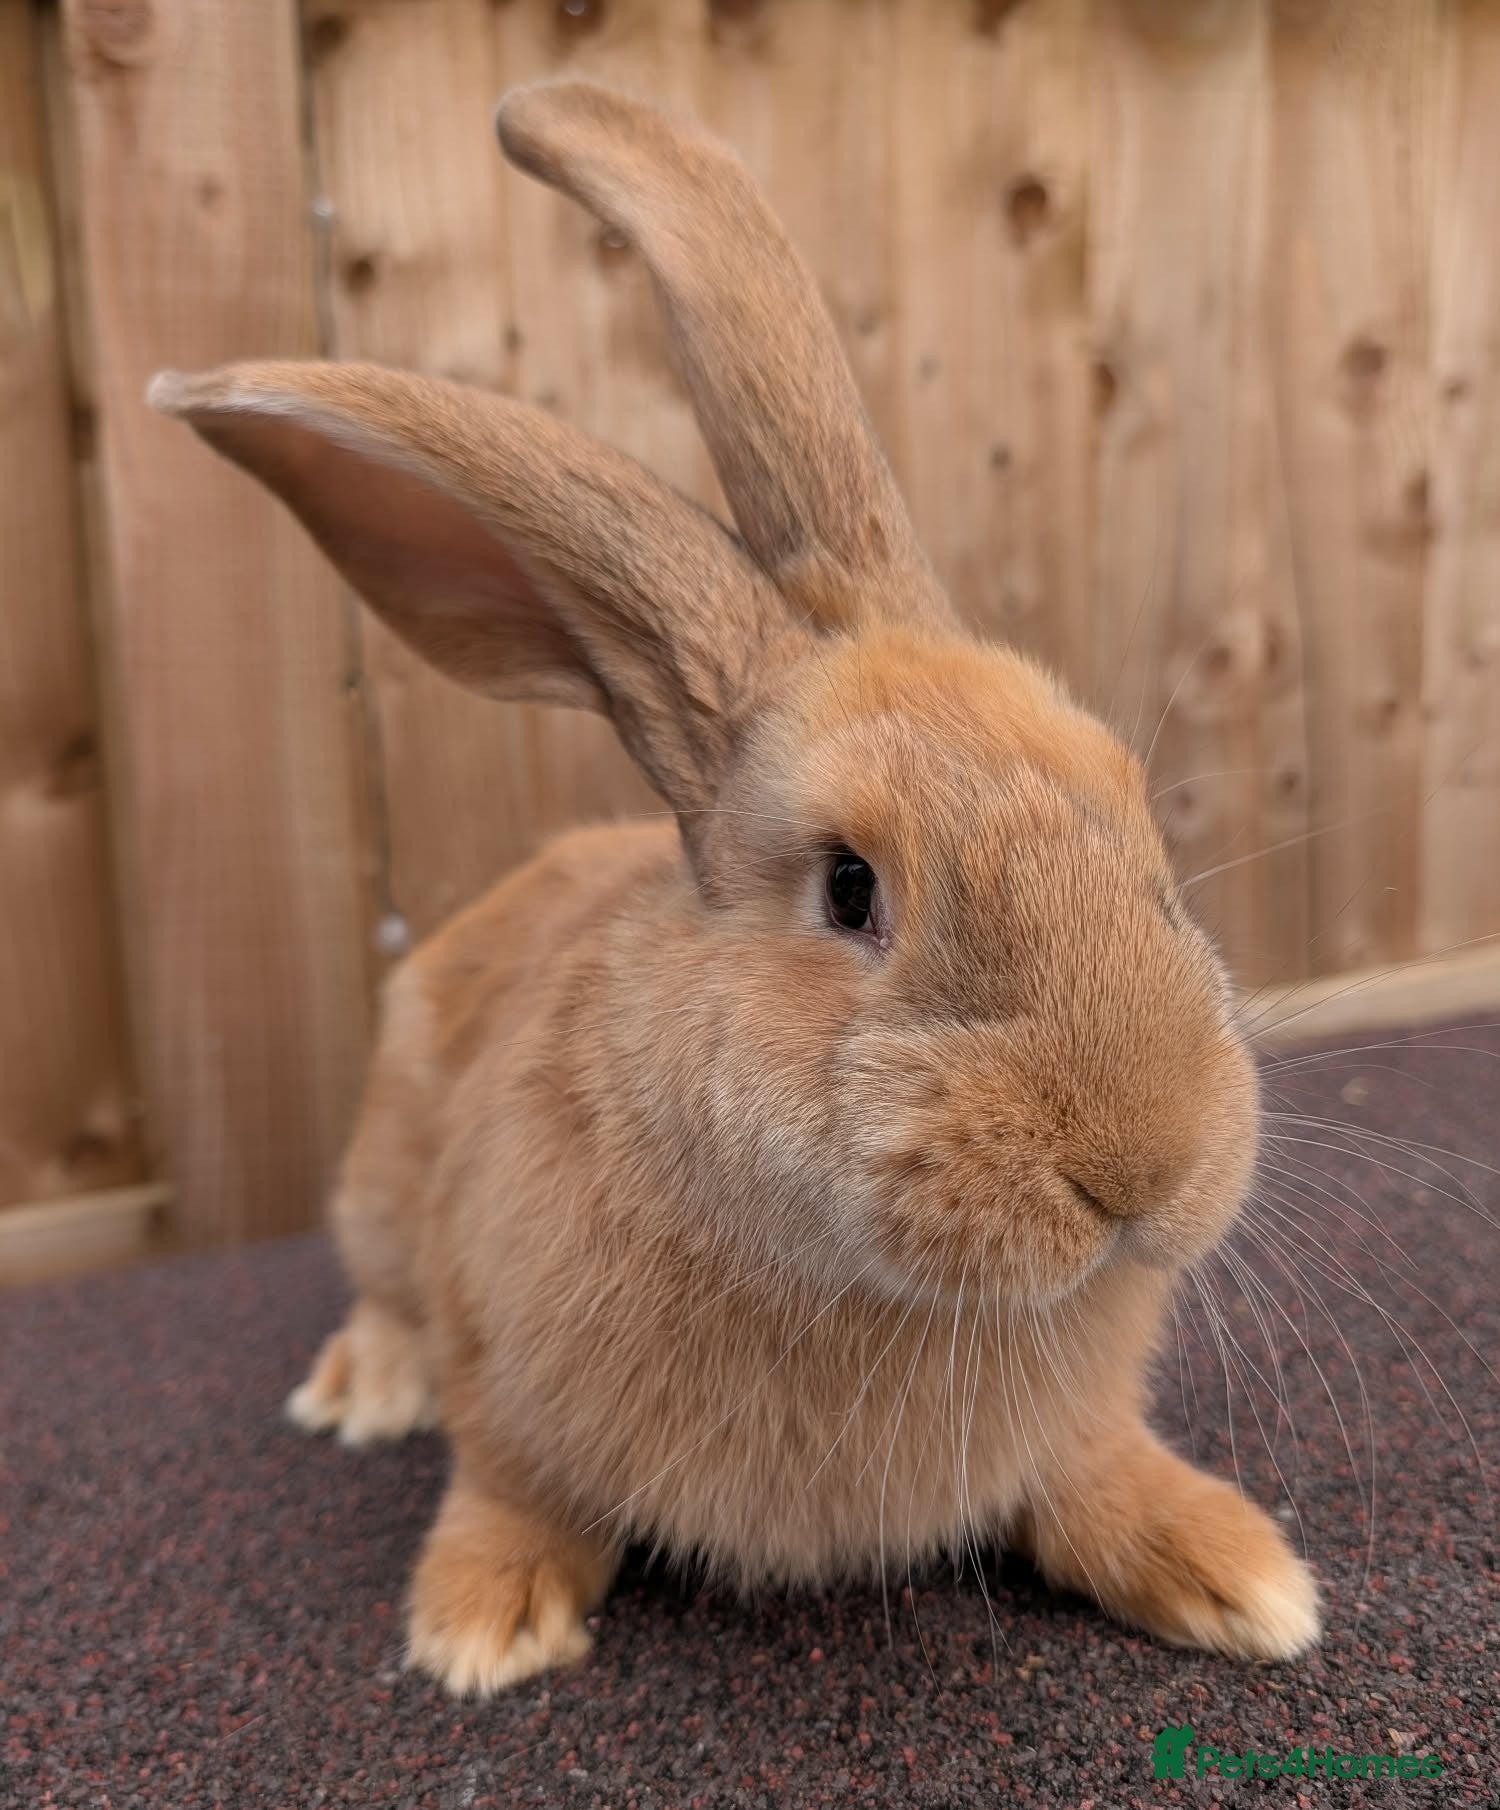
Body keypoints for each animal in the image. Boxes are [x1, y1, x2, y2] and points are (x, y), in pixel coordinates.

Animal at [149, 79, 1318, 1697]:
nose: (1145, 1167)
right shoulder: (498, 1353)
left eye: (1140, 834)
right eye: (850, 888)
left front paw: (1238, 1573)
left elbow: (1098, 1471)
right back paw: (362, 1388)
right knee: (382, 1293)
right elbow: (507, 1482)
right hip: (380, 1180)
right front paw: (481, 1626)